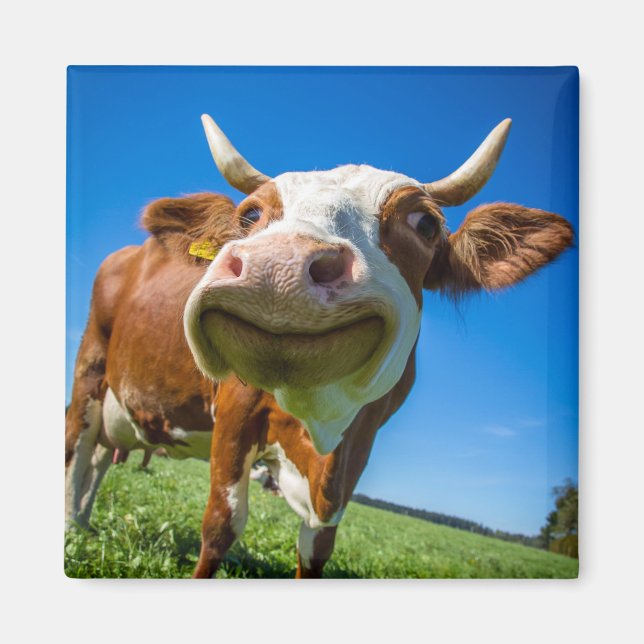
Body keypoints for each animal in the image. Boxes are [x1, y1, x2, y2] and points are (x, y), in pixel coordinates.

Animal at [65, 114, 573, 578]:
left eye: (425, 223)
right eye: (250, 216)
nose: (277, 266)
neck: (319, 423)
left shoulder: (357, 448)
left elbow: (316, 547)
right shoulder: (235, 411)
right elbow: (222, 525)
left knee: (100, 458)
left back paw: (87, 525)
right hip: (90, 371)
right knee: (78, 451)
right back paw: (73, 531)